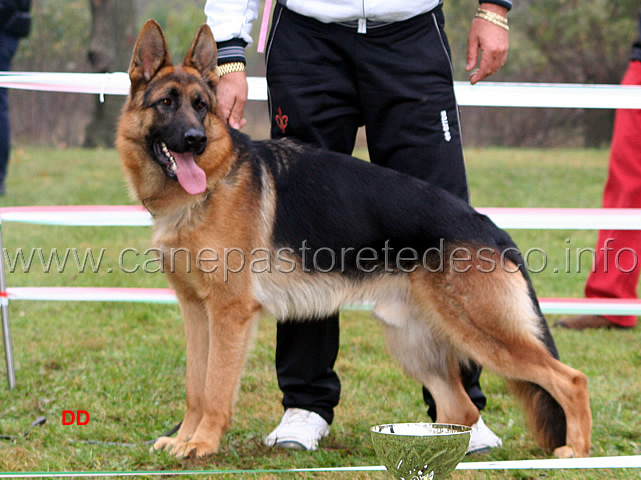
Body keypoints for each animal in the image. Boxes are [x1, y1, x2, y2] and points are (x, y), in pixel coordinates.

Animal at [116, 20, 592, 460]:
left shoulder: (229, 314)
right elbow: (195, 386)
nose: (195, 140)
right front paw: (183, 439)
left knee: (570, 379)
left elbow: (214, 387)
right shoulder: (196, 311)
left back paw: (576, 451)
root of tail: (490, 227)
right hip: (413, 342)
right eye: (166, 103)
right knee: (461, 409)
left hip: (482, 332)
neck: (212, 183)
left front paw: (202, 444)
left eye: (201, 107)